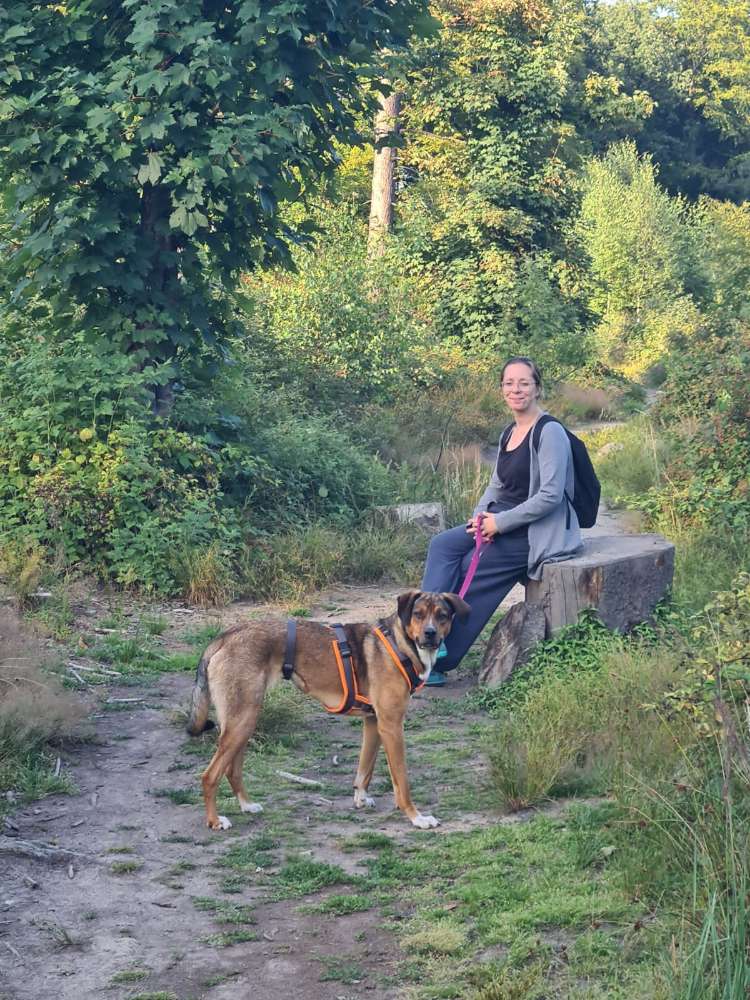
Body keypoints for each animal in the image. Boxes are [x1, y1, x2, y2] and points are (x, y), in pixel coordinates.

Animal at [187, 588, 470, 832]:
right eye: (418, 614)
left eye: (442, 615)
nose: (430, 633)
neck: (399, 645)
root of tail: (224, 637)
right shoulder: (392, 726)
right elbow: (401, 781)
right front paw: (416, 817)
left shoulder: (373, 722)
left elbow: (364, 769)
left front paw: (360, 799)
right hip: (242, 721)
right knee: (209, 775)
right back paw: (215, 821)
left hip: (242, 721)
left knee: (232, 770)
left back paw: (246, 805)